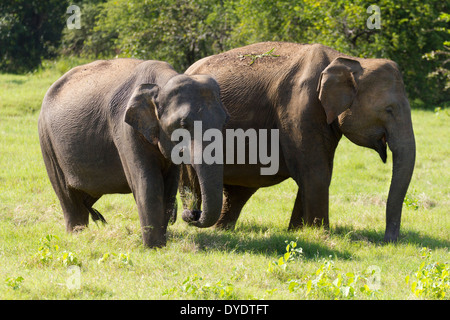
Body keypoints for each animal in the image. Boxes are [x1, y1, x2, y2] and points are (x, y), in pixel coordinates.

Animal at [37, 58, 229, 248]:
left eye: (224, 122)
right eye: (182, 125)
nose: (192, 213)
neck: (161, 82)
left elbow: (169, 186)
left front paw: (161, 244)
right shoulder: (125, 128)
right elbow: (148, 182)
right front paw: (154, 247)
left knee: (86, 197)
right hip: (47, 142)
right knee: (68, 196)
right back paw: (77, 236)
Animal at [179, 42, 414, 242]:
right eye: (389, 110)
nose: (388, 239)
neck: (351, 60)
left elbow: (316, 173)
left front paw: (297, 232)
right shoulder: (299, 107)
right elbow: (316, 172)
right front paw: (321, 235)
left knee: (238, 191)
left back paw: (220, 229)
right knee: (195, 181)